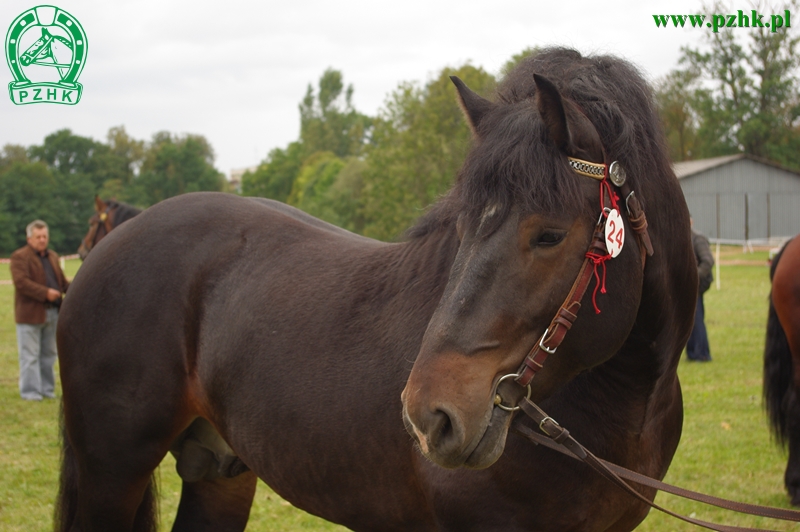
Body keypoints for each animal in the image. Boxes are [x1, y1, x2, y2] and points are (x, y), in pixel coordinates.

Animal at [56, 47, 696, 528]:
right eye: (462, 227)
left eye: (550, 236)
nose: (430, 415)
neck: (625, 404)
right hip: (112, 473)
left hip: (219, 473)